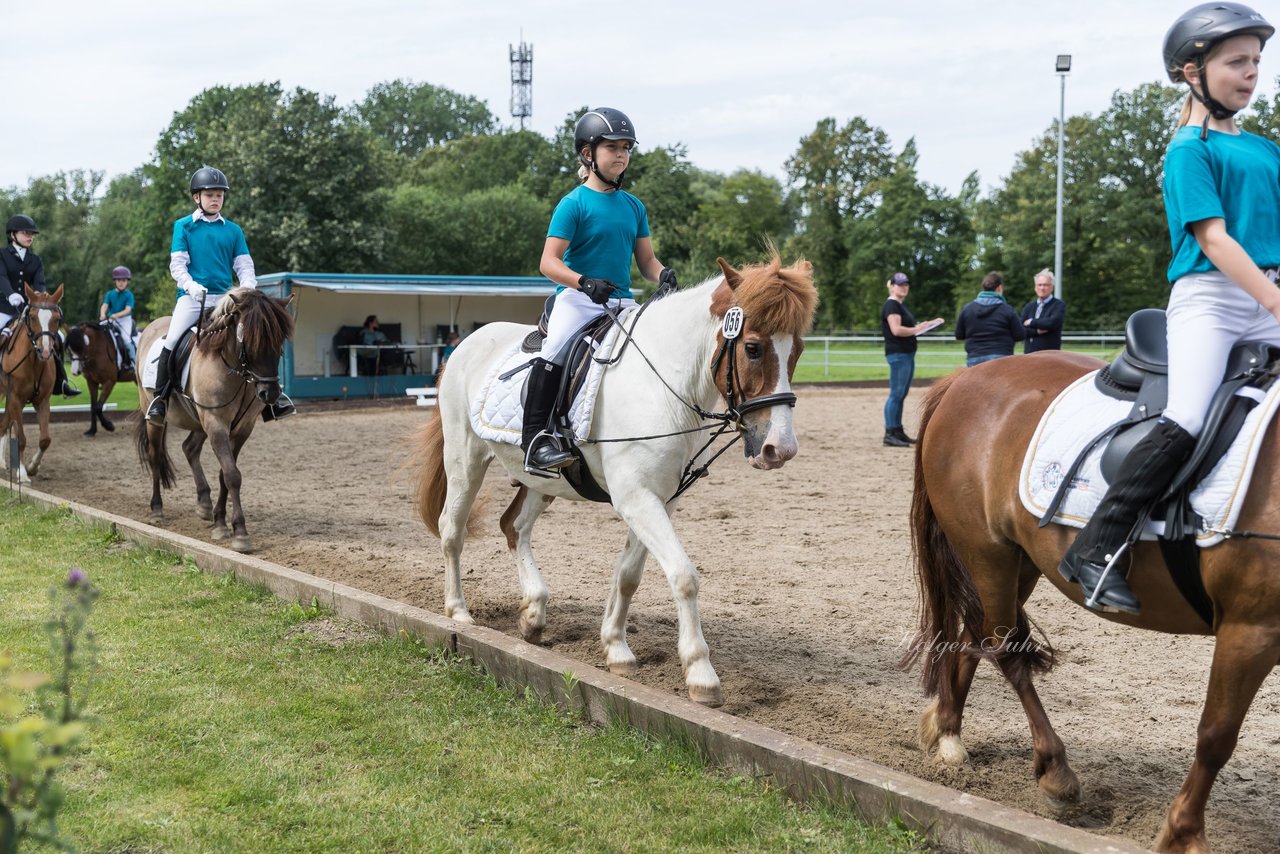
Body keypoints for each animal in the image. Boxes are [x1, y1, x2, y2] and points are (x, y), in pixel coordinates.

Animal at [0, 285, 66, 481]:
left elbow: (45, 439)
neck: (35, 362)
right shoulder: (16, 399)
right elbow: (21, 437)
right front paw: (22, 473)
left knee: (4, 423)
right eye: (33, 317)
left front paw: (32, 467)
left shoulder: (42, 401)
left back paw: (2, 462)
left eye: (56, 319)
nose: (45, 351)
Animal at [134, 286, 294, 555]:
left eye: (280, 340)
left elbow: (225, 474)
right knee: (155, 455)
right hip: (157, 417)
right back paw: (156, 509)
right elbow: (232, 475)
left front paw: (220, 522)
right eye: (250, 339)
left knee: (189, 448)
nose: (269, 394)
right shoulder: (216, 423)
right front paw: (240, 533)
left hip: (199, 421)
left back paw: (204, 503)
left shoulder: (241, 429)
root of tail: (150, 327)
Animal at [419, 256, 819, 706]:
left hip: (540, 480)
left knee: (514, 527)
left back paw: (534, 613)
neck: (664, 385)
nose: (780, 448)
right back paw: (458, 611)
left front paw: (616, 648)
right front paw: (701, 674)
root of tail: (467, 344)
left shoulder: (660, 498)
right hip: (464, 459)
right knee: (452, 530)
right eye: (752, 348)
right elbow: (684, 576)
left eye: (797, 350)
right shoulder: (636, 497)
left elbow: (629, 574)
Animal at [906, 348, 1280, 854]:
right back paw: (1054, 770)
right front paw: (1183, 834)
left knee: (978, 634)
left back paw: (948, 733)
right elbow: (1216, 735)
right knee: (1004, 648)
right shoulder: (1251, 628)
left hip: (1019, 560)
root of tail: (964, 378)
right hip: (987, 552)